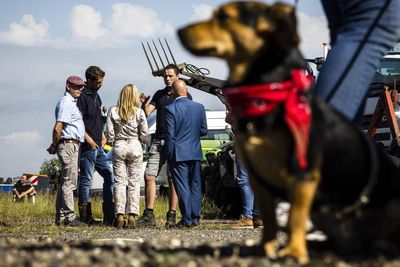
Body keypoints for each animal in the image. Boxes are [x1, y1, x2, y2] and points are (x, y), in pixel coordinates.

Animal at [179, 0, 400, 266]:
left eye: (225, 17)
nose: (179, 31)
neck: (268, 95)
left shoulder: (301, 171)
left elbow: (295, 215)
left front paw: (293, 252)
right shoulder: (257, 177)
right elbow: (269, 219)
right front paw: (266, 247)